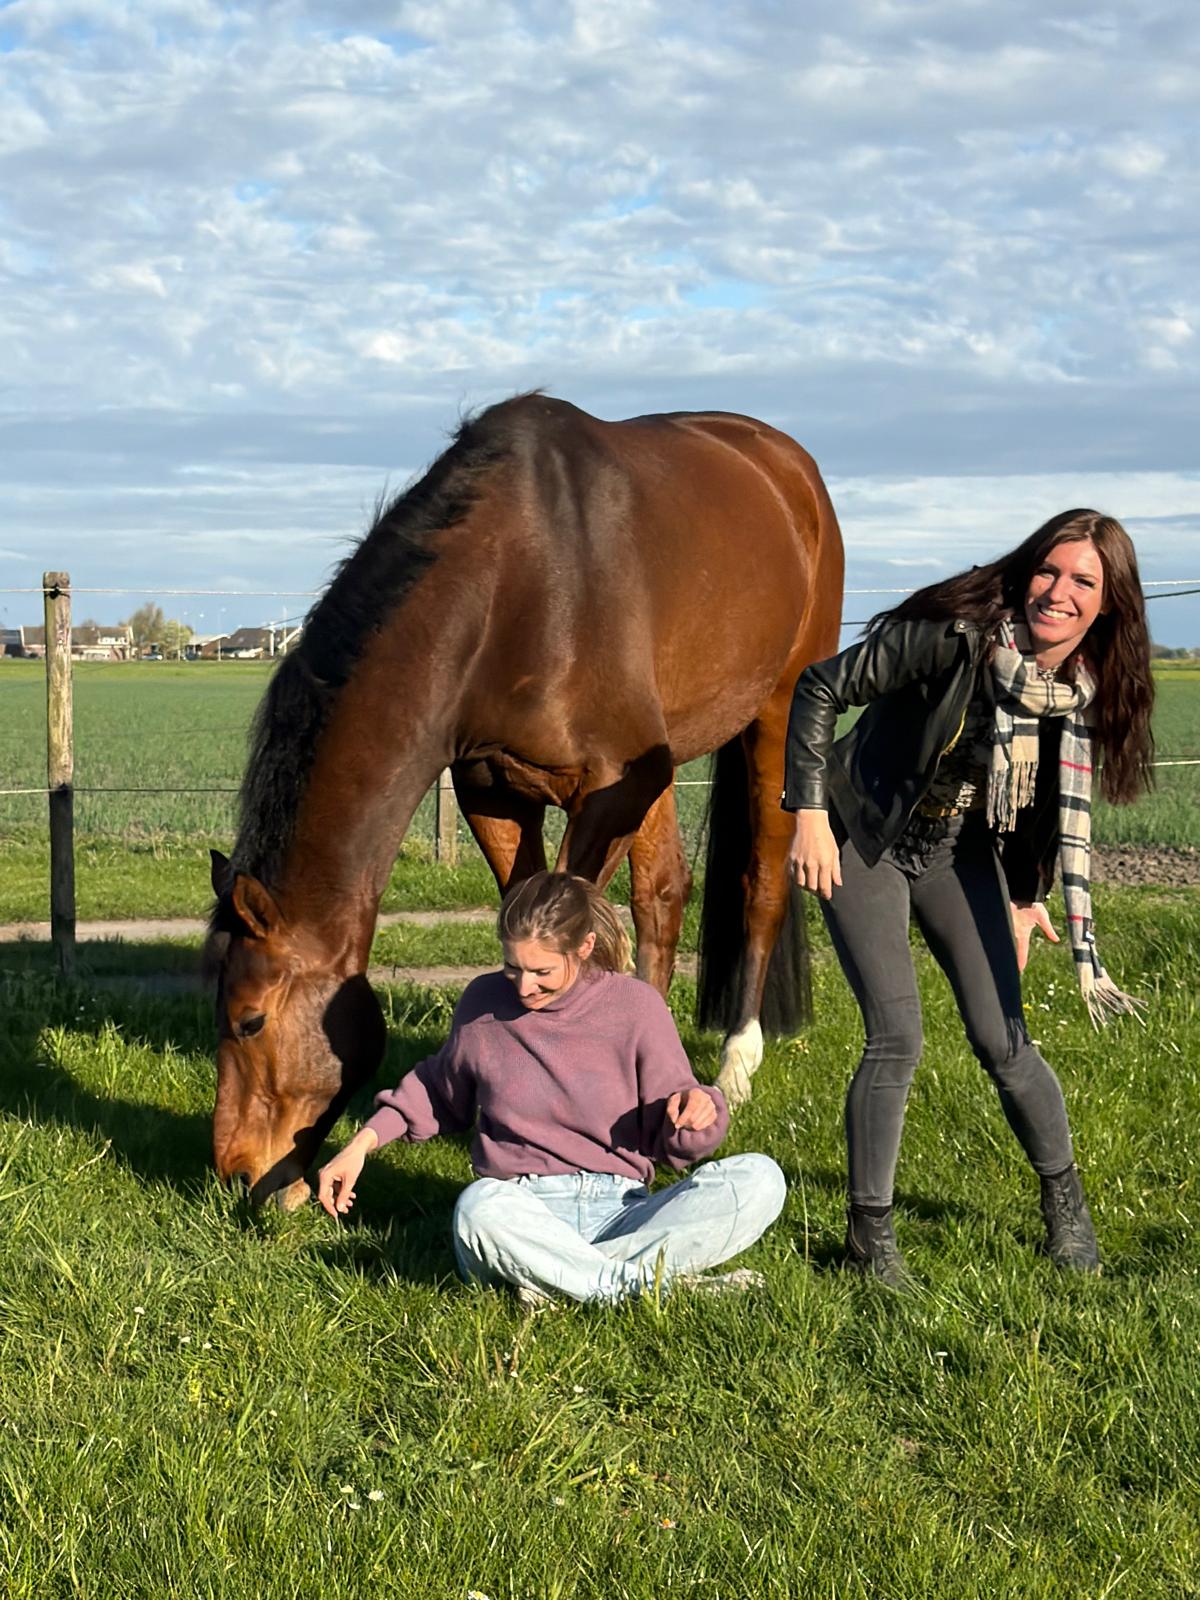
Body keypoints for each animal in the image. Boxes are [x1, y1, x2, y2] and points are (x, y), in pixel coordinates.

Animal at [206, 393, 843, 1207]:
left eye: (250, 1022)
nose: (235, 1171)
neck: (510, 587)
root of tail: (789, 464)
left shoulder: (607, 789)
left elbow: (576, 922)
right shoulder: (492, 790)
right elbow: (529, 914)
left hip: (779, 713)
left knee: (759, 885)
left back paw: (735, 1062)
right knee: (664, 893)